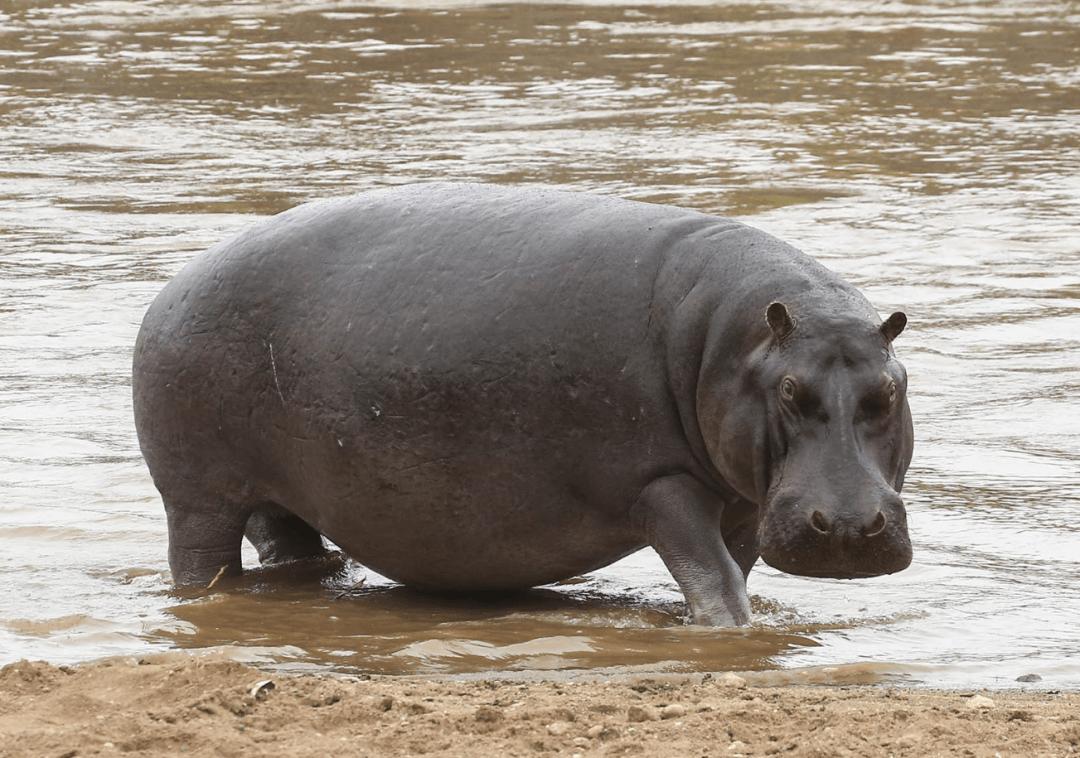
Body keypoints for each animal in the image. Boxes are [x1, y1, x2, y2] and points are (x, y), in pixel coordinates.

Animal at [132, 182, 911, 621]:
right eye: (790, 390)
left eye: (891, 388)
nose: (848, 526)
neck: (736, 343)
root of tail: (174, 286)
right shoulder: (660, 483)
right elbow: (713, 578)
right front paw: (726, 631)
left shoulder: (746, 500)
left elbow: (734, 569)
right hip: (197, 497)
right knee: (197, 560)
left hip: (281, 497)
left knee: (291, 549)